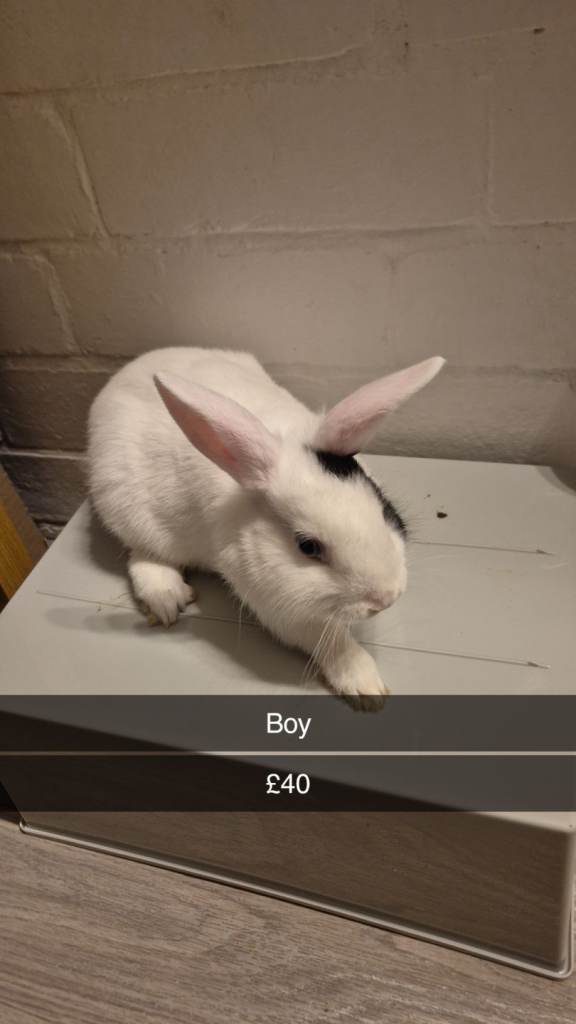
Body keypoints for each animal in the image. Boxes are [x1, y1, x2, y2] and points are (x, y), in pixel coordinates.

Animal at [88, 347, 445, 698]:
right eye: (307, 546)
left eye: (385, 510)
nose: (386, 598)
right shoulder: (275, 601)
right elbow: (321, 635)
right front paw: (364, 682)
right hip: (131, 511)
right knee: (142, 555)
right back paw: (166, 599)